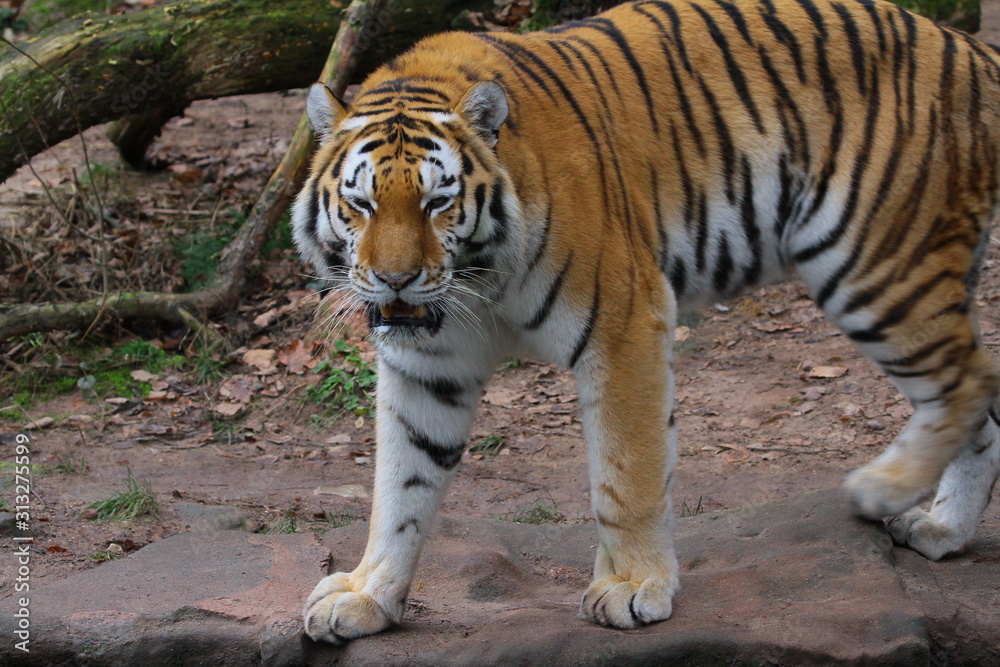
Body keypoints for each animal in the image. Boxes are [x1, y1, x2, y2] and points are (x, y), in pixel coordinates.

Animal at [291, 0, 1000, 643]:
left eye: (437, 202)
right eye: (362, 204)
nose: (396, 280)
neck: (478, 283)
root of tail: (970, 48)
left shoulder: (623, 322)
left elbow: (625, 476)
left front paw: (633, 587)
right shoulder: (427, 366)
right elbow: (399, 485)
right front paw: (368, 595)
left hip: (875, 264)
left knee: (969, 385)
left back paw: (882, 491)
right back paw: (941, 530)